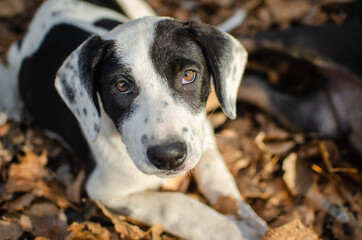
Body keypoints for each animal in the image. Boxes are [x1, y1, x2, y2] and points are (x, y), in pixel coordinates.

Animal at [0, 0, 268, 239]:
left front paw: (245, 216)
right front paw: (233, 230)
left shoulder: (202, 135)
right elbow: (172, 204)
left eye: (188, 75)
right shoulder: (104, 191)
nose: (168, 156)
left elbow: (217, 175)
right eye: (121, 86)